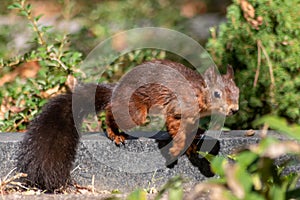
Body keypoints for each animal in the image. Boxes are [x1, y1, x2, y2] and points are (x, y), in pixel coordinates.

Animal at [17, 59, 239, 191]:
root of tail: (116, 90)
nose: (234, 110)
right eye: (217, 94)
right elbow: (176, 128)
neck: (198, 94)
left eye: (237, 91)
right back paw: (114, 133)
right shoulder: (177, 107)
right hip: (135, 112)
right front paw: (177, 148)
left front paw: (194, 142)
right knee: (110, 111)